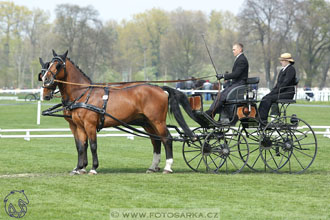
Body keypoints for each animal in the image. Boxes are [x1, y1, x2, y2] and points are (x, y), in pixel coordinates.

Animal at [40, 50, 197, 175]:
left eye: (58, 65)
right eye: (48, 66)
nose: (45, 81)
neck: (83, 94)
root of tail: (160, 89)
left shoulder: (90, 125)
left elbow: (93, 145)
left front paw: (93, 168)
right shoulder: (78, 126)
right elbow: (81, 146)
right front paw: (79, 168)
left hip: (158, 121)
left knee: (167, 139)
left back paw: (168, 167)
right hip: (148, 123)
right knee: (156, 141)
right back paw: (153, 167)